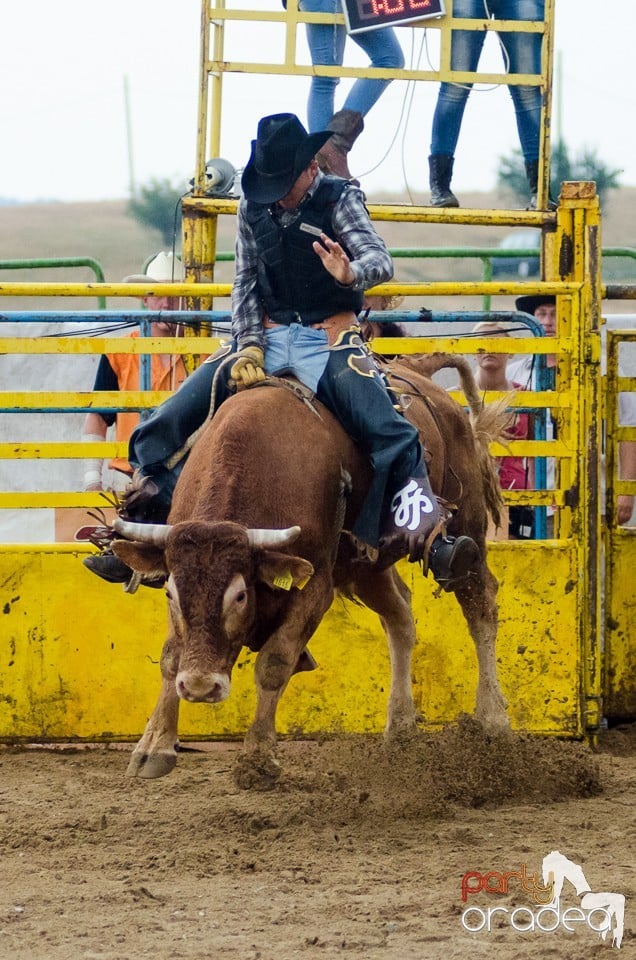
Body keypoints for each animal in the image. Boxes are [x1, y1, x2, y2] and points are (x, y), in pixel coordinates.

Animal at [114, 354, 510, 788]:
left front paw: (257, 757)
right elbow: (171, 656)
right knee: (401, 617)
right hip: (365, 566)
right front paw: (155, 745)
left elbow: (275, 663)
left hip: (466, 524)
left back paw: (493, 719)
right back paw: (401, 726)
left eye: (240, 595)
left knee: (480, 606)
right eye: (171, 592)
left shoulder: (315, 585)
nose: (201, 686)